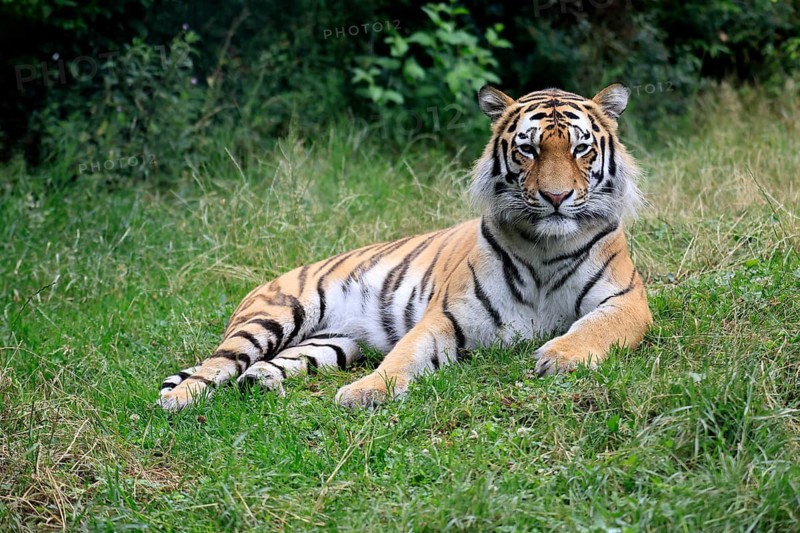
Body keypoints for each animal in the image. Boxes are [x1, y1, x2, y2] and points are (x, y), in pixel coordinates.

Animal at [157, 83, 652, 411]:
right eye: (528, 150)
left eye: (581, 149)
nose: (555, 197)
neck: (545, 247)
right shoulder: (448, 315)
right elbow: (407, 353)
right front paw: (365, 391)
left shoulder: (628, 300)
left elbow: (595, 327)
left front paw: (560, 357)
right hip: (272, 316)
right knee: (217, 364)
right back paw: (178, 400)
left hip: (332, 344)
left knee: (268, 364)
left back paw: (260, 383)